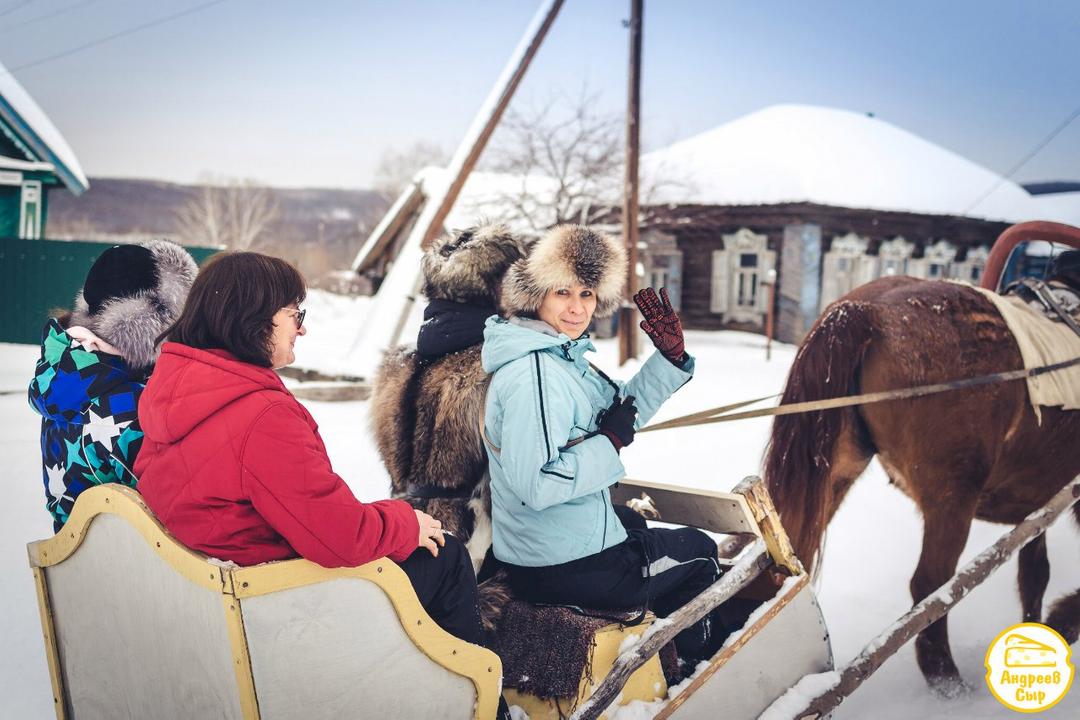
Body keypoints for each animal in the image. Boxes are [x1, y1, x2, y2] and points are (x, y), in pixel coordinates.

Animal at [760, 274, 1080, 690]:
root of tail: (866, 310)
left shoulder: (1037, 504)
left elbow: (1035, 573)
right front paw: (1061, 622)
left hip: (836, 470)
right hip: (953, 493)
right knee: (931, 587)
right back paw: (948, 683)